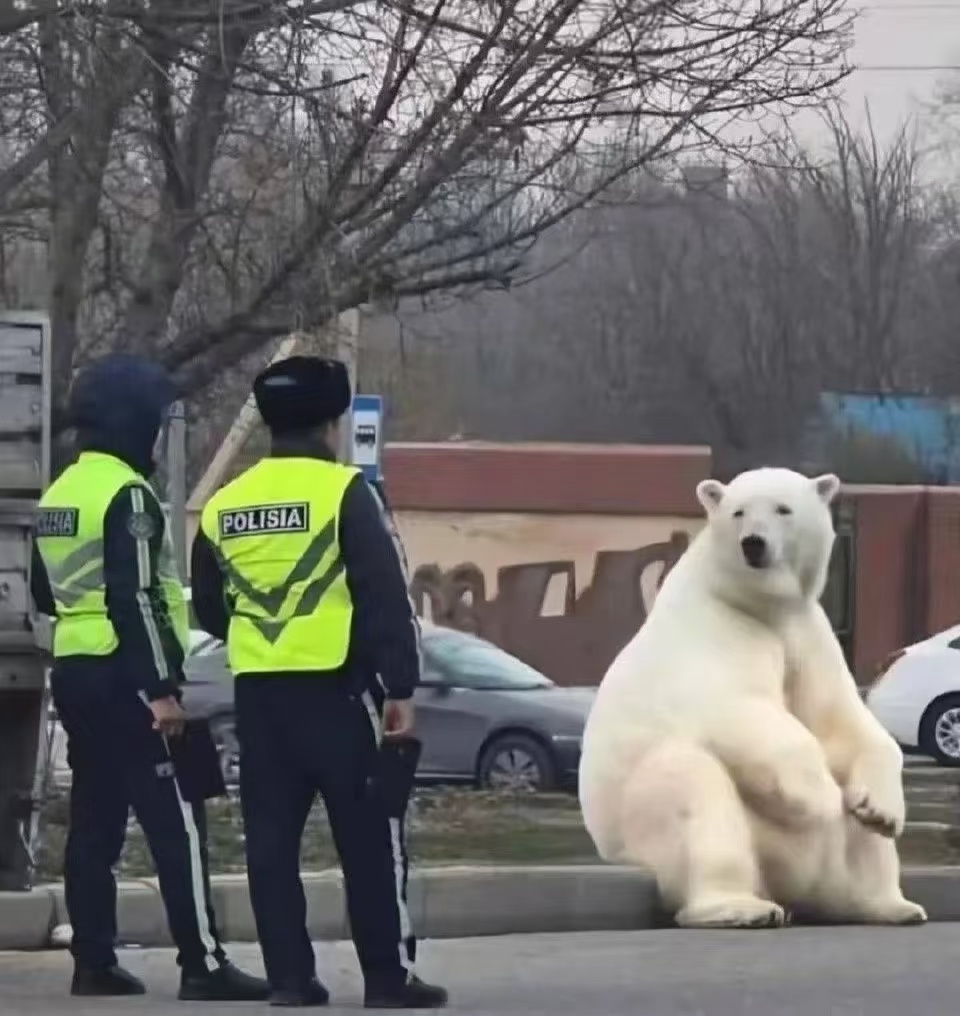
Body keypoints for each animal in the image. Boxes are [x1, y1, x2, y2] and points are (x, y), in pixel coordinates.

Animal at [578, 466, 926, 929]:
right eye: (738, 511)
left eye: (783, 508)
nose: (753, 543)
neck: (758, 606)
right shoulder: (715, 632)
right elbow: (737, 708)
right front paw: (820, 795)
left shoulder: (806, 634)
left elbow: (840, 719)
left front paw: (880, 809)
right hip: (647, 815)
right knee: (695, 790)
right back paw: (743, 908)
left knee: (858, 847)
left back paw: (888, 904)